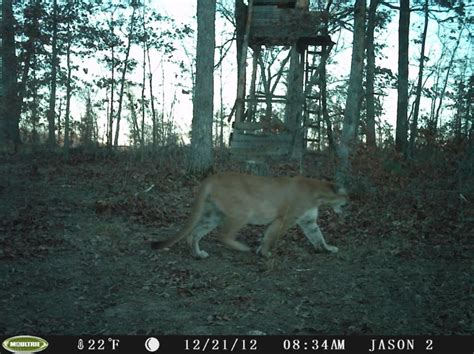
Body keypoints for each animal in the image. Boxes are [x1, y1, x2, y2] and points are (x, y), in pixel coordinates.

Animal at [152, 172, 348, 258]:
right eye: (347, 197)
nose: (349, 204)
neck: (318, 194)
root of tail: (213, 176)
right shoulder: (285, 219)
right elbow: (271, 236)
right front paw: (265, 253)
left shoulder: (308, 221)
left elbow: (318, 236)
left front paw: (328, 249)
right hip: (243, 212)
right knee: (222, 235)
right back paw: (241, 247)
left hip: (213, 215)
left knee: (194, 233)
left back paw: (198, 254)